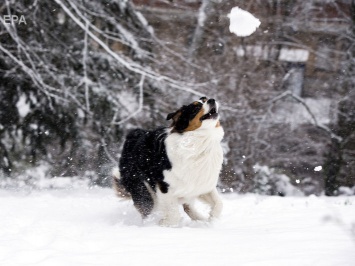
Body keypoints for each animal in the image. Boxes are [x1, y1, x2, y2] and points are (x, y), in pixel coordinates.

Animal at [113, 96, 225, 225]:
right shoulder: (164, 186)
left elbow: (218, 203)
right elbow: (174, 214)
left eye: (205, 99)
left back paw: (199, 219)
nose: (212, 100)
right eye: (196, 108)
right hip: (142, 189)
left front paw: (212, 219)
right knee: (148, 209)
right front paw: (163, 224)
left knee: (187, 206)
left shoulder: (202, 182)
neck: (199, 141)